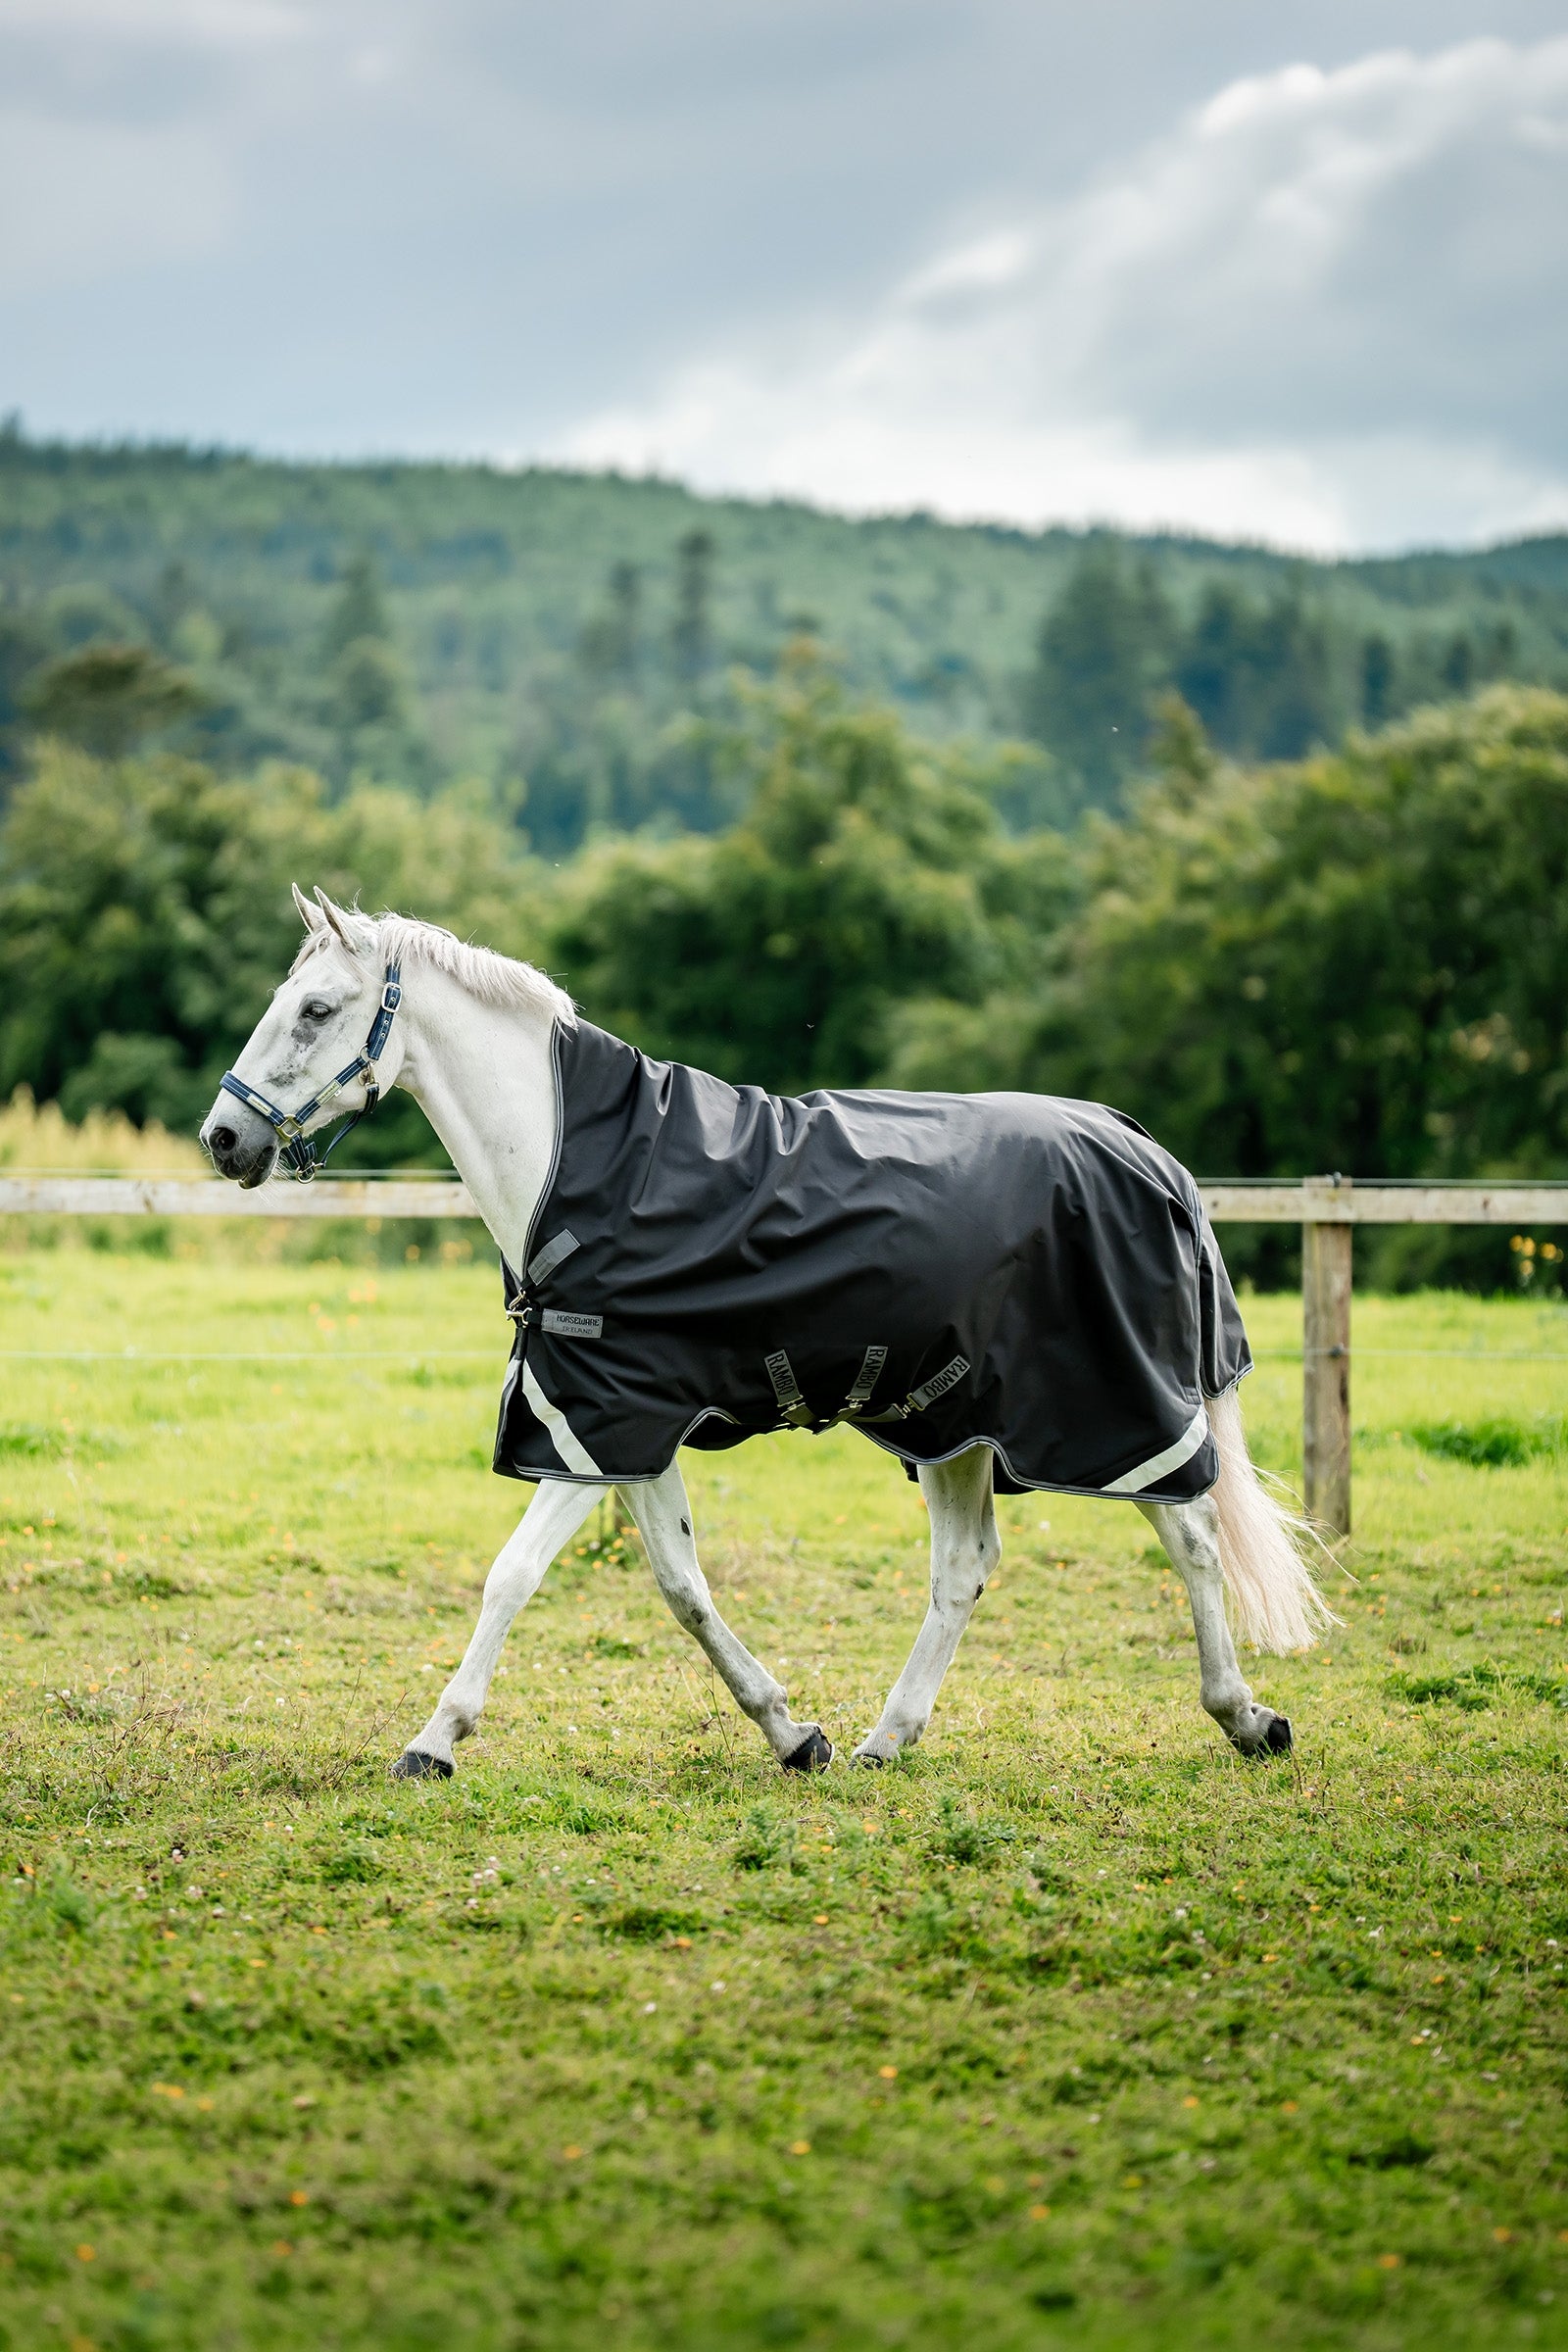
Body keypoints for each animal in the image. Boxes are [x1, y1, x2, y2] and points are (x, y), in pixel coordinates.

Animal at [200, 889, 1330, 1781]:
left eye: (316, 1010)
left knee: (1190, 1532)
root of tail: (1145, 1151)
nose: (224, 1139)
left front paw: (432, 1743)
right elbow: (683, 1588)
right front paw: (793, 1734)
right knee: (964, 1568)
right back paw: (884, 1739)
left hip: (1113, 1412)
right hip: (953, 1422)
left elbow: (511, 1576)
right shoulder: (624, 1430)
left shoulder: (597, 1428)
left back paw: (1247, 1719)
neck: (585, 1169)